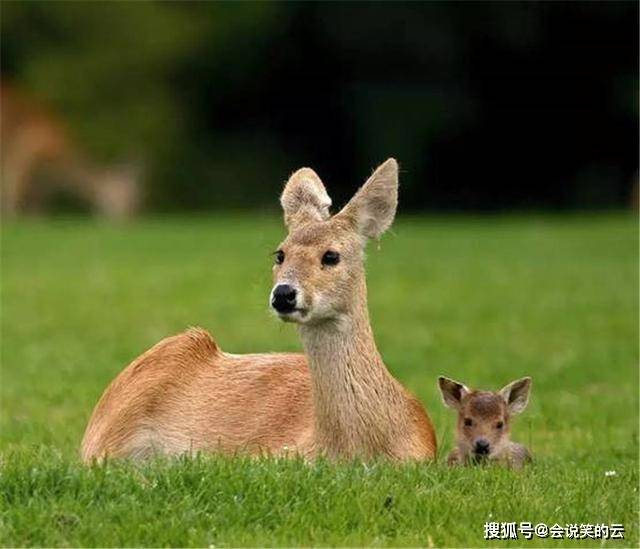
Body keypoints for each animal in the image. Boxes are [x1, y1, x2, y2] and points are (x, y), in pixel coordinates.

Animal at [0, 83, 140, 218]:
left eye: (135, 200)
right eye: (123, 197)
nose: (130, 218)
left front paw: (35, 217)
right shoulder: (21, 153)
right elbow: (12, 186)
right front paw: (11, 218)